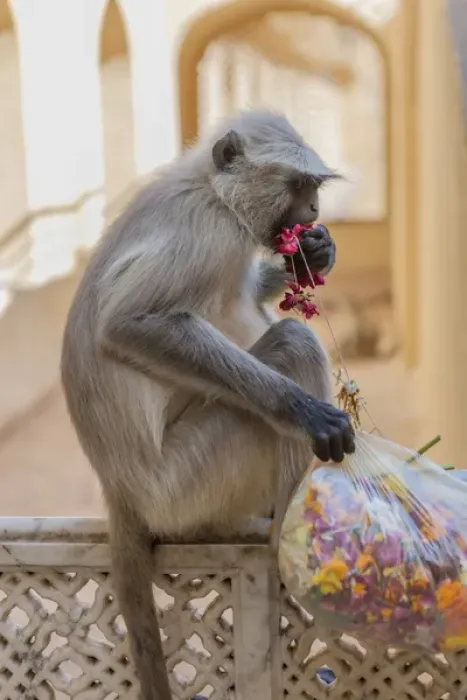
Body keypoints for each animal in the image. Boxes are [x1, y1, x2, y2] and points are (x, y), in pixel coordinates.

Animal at [60, 110, 355, 700]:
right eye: (300, 187)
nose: (314, 212)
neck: (210, 189)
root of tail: (119, 490)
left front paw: (312, 257)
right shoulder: (210, 233)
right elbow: (129, 324)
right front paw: (304, 412)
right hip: (190, 481)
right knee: (293, 343)